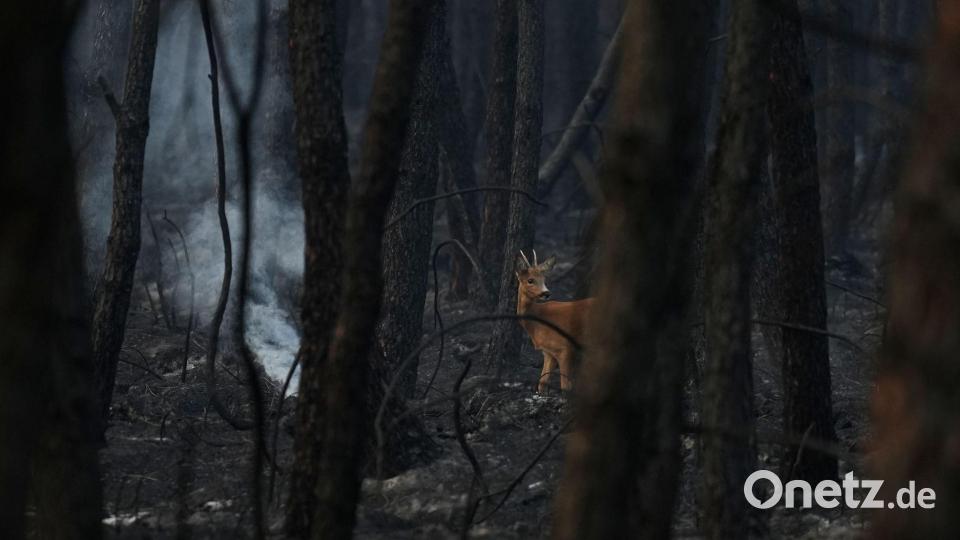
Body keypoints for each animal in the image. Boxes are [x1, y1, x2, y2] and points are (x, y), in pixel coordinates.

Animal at [514, 250, 594, 394]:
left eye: (544, 279)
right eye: (530, 280)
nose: (546, 293)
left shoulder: (565, 347)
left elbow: (566, 386)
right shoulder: (548, 352)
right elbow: (542, 383)